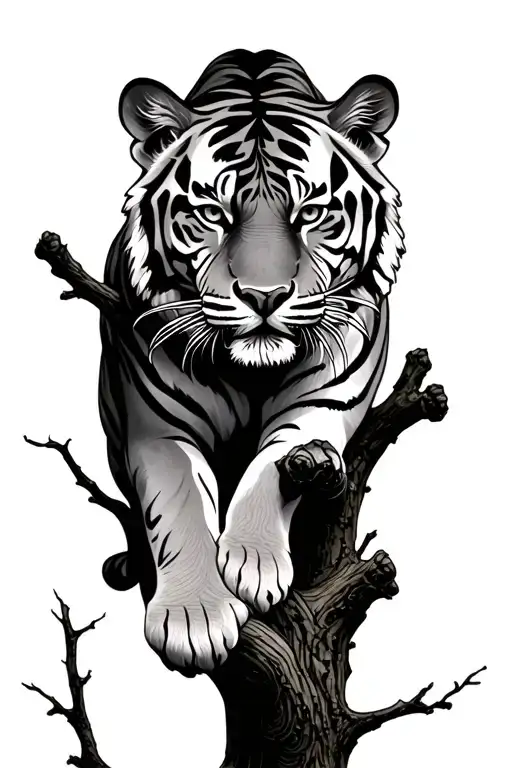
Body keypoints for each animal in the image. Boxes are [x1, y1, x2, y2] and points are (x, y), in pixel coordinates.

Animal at [99, 49, 405, 673]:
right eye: (212, 213)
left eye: (312, 212)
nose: (265, 296)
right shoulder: (157, 427)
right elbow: (179, 502)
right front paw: (194, 615)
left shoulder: (323, 400)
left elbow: (278, 460)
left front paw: (254, 561)